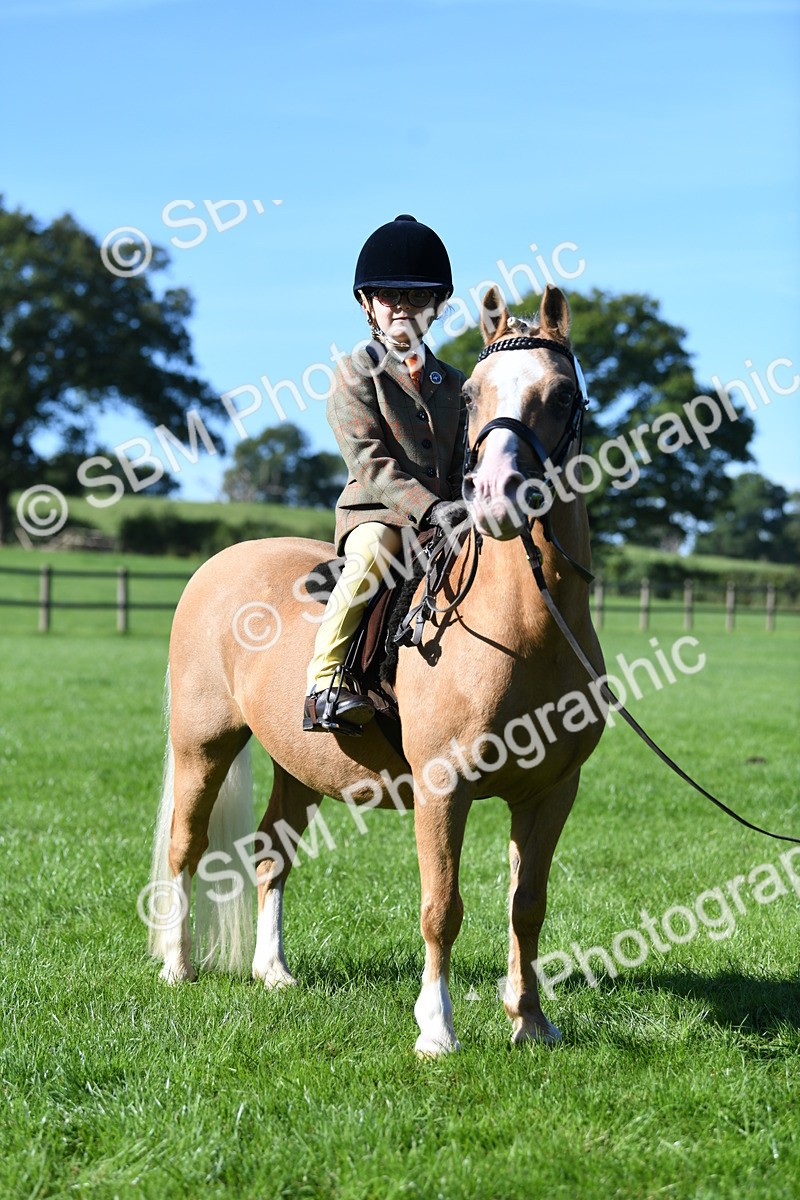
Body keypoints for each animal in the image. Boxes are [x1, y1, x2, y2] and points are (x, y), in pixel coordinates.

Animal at [148, 282, 606, 1055]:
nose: (495, 494)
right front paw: (436, 1031)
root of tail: (221, 562)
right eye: (475, 393)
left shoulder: (551, 793)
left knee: (271, 853)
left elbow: (528, 906)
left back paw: (272, 972)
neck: (524, 628)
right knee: (186, 845)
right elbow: (441, 907)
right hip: (202, 745)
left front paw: (531, 1022)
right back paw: (178, 967)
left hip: (297, 764)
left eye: (563, 393)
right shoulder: (443, 790)